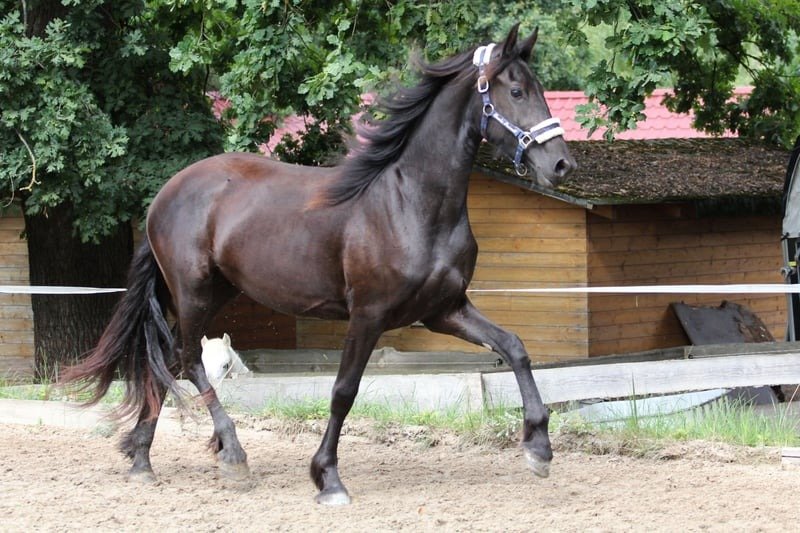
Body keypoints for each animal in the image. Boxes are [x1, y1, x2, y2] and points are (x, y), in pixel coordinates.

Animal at [64, 23, 576, 505]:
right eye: (517, 91)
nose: (562, 166)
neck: (411, 202)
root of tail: (164, 195)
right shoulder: (368, 315)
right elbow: (343, 391)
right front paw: (328, 479)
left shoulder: (444, 310)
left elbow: (514, 347)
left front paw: (539, 449)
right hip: (193, 292)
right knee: (188, 361)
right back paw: (232, 455)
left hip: (216, 292)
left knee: (167, 360)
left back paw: (142, 458)